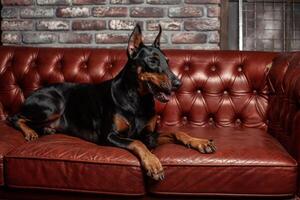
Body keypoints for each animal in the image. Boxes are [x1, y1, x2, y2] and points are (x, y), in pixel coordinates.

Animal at [8, 24, 216, 180]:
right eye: (152, 61)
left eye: (168, 61)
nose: (178, 83)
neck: (137, 99)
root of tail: (33, 93)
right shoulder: (109, 136)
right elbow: (137, 143)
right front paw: (153, 164)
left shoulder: (149, 135)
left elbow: (177, 132)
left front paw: (200, 142)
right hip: (53, 105)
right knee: (14, 117)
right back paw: (30, 132)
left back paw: (46, 129)